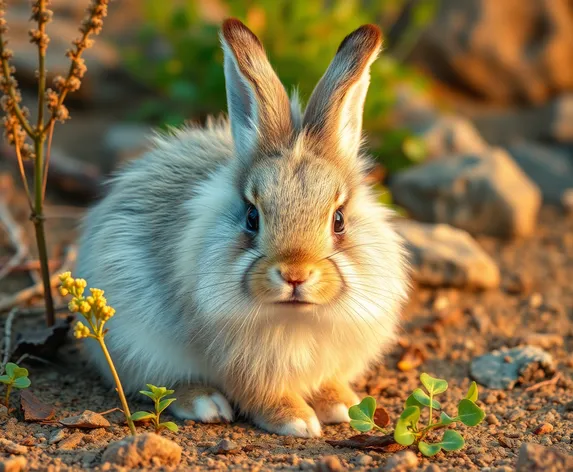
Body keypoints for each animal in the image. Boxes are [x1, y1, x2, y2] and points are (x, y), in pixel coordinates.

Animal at [76, 18, 408, 438]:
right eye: (252, 217)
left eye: (339, 220)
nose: (295, 275)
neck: (295, 316)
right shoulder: (238, 364)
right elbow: (261, 394)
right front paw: (298, 421)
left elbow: (327, 382)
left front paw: (343, 406)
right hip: (137, 346)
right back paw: (206, 403)